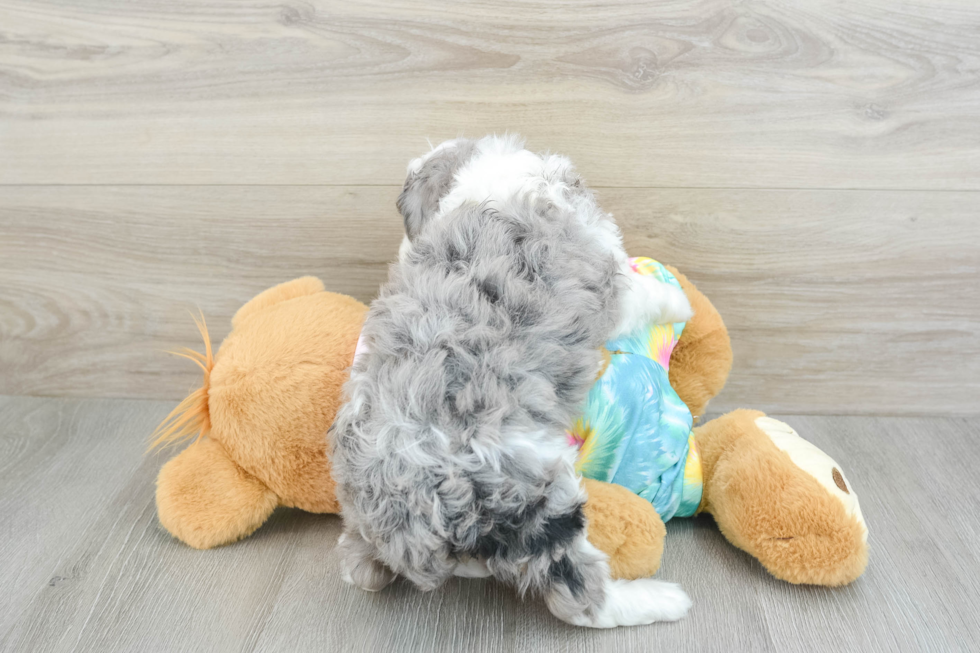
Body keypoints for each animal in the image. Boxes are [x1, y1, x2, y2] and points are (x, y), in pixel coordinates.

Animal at [334, 134, 692, 628]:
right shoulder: (611, 286)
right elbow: (647, 295)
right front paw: (681, 301)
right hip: (538, 497)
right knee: (578, 597)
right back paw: (660, 599)